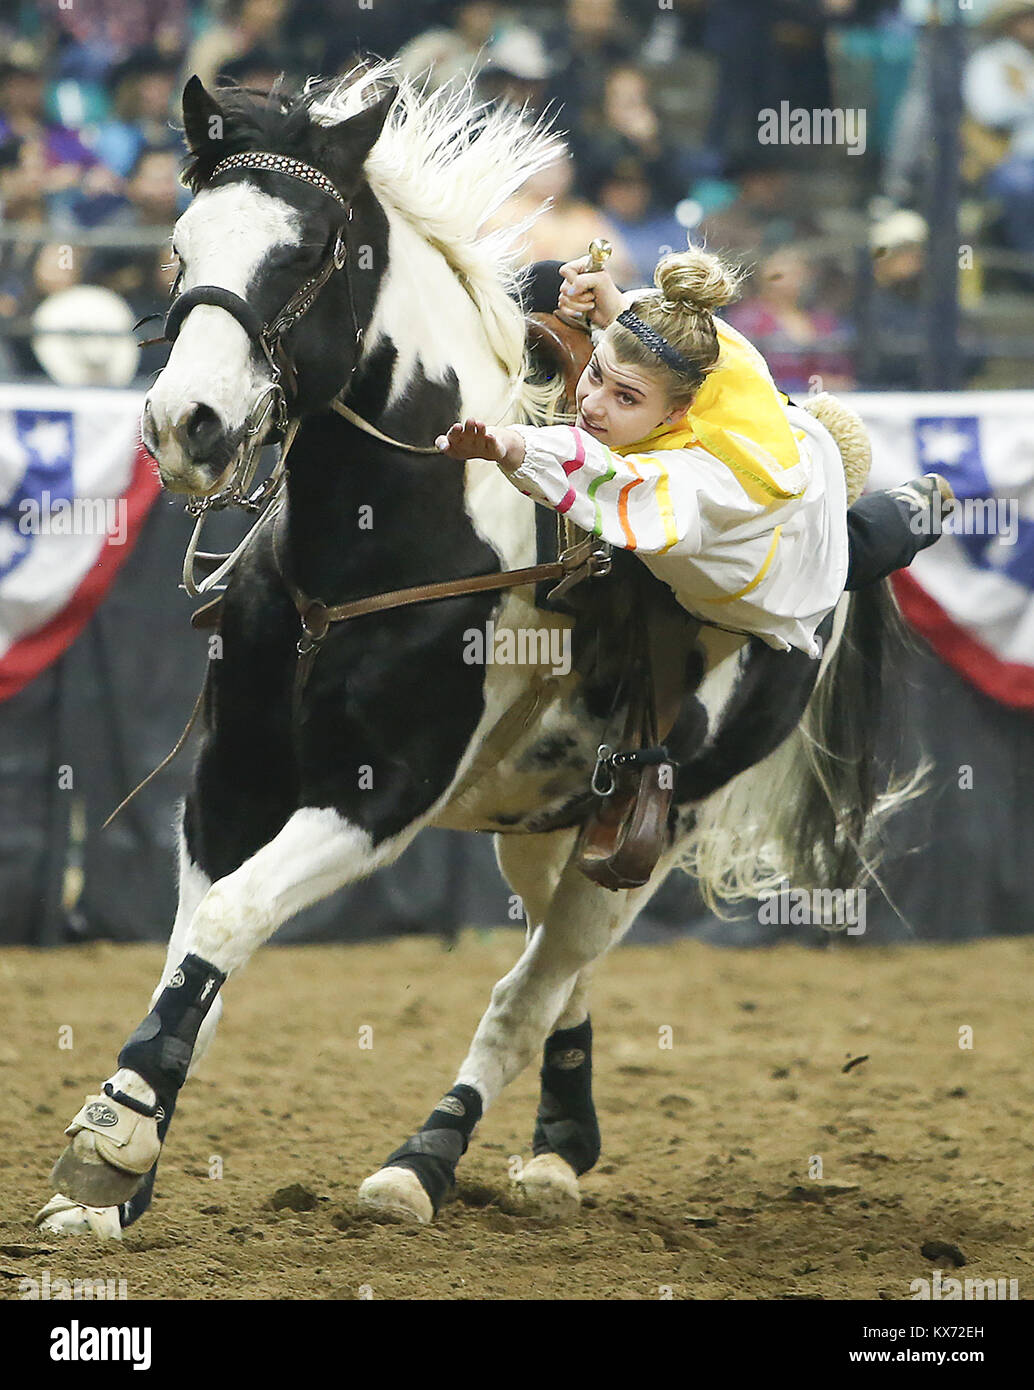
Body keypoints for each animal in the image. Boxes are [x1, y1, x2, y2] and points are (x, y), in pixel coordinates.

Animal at [36, 65, 917, 1239]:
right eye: (181, 243)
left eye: (310, 248)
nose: (190, 424)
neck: (371, 548)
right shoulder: (229, 784)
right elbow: (193, 961)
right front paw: (119, 1179)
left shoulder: (376, 798)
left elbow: (230, 920)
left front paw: (113, 1139)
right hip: (545, 822)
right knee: (556, 970)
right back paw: (558, 1145)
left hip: (655, 827)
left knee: (525, 991)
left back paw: (423, 1162)